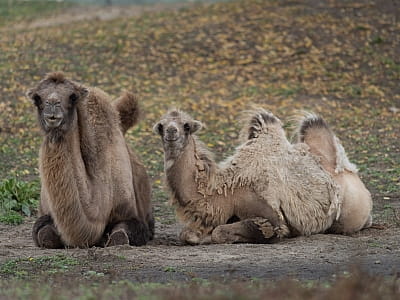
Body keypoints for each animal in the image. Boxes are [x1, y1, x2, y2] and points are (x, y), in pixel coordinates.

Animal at [28, 72, 155, 248]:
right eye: (37, 98)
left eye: (73, 96)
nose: (52, 103)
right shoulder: (45, 215)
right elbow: (44, 235)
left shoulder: (130, 214)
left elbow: (119, 237)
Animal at [153, 109, 372, 245]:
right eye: (161, 125)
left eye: (186, 125)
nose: (171, 131)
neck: (225, 190)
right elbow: (186, 234)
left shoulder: (272, 217)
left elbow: (220, 232)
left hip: (350, 215)